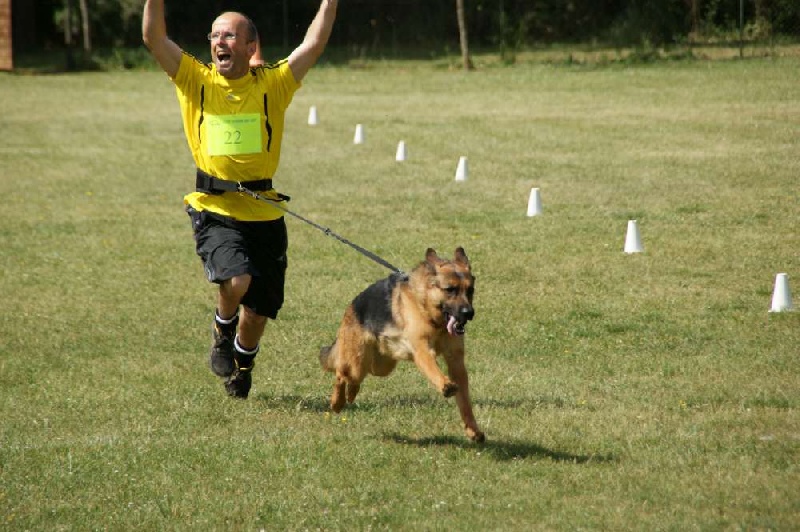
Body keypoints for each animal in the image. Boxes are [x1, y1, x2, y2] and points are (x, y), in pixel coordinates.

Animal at [320, 247, 484, 442]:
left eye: (470, 290)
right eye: (450, 290)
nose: (469, 313)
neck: (427, 309)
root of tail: (352, 305)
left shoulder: (456, 363)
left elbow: (465, 401)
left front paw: (473, 430)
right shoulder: (422, 350)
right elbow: (433, 370)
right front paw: (445, 384)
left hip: (380, 366)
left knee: (354, 379)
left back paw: (351, 394)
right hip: (356, 361)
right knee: (341, 374)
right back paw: (337, 402)